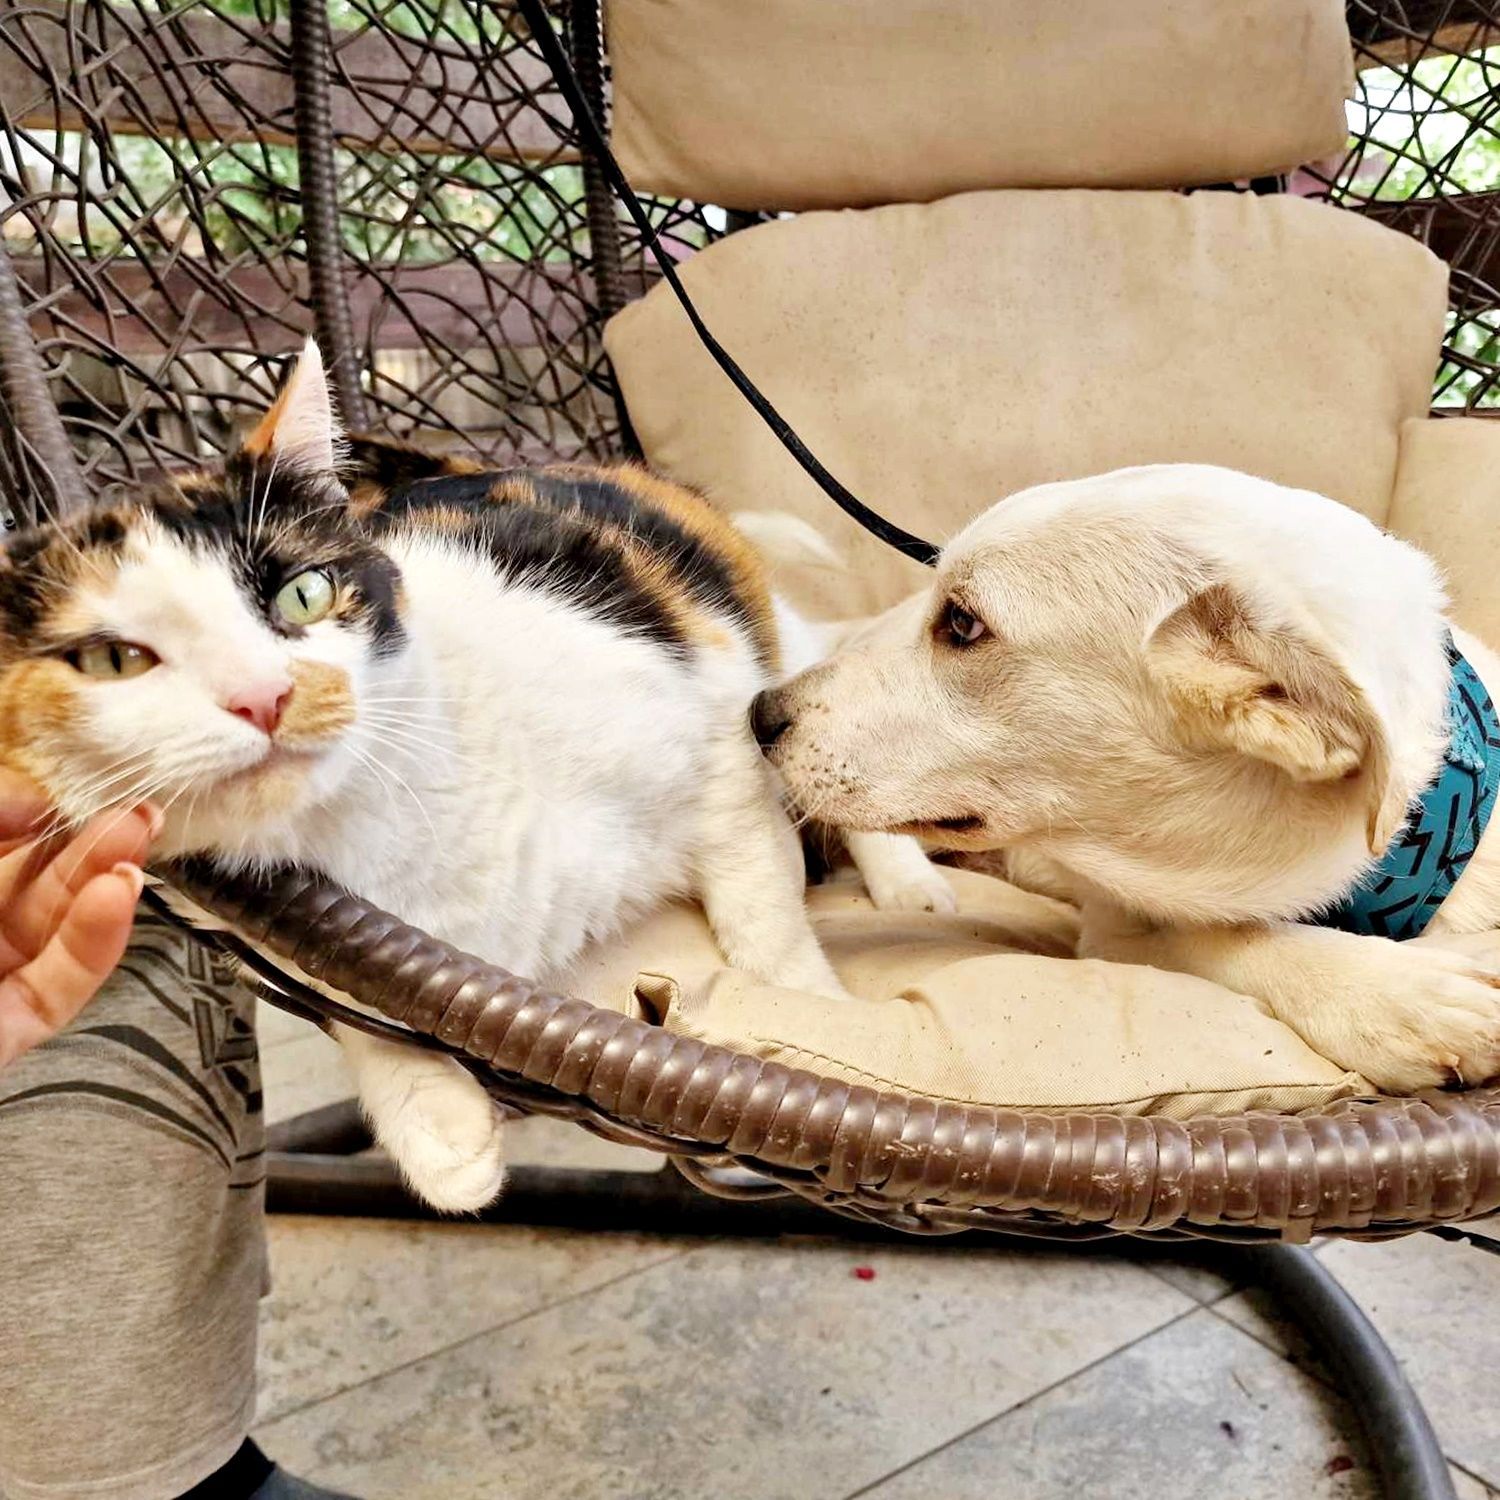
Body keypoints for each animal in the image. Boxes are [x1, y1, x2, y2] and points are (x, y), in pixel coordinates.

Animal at [0, 340, 881, 1212]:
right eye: (113, 661)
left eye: (304, 594)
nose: (265, 697)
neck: (379, 821)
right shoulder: (267, 922)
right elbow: (355, 993)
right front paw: (434, 1126)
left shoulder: (714, 742)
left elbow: (763, 920)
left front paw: (811, 1030)